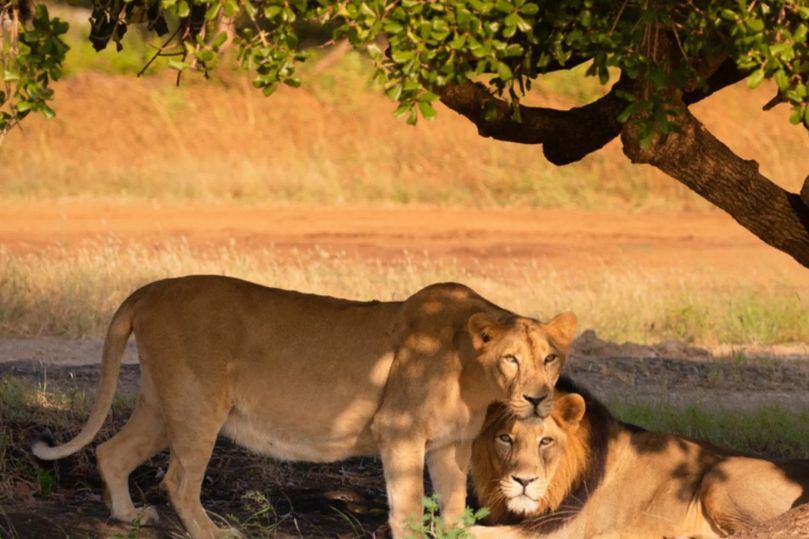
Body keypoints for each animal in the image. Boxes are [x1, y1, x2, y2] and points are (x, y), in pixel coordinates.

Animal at [30, 276, 577, 539]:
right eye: (511, 358)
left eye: (550, 358)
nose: (537, 398)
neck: (472, 372)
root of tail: (149, 289)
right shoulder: (398, 431)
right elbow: (405, 508)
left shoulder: (450, 443)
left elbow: (454, 504)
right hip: (198, 405)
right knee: (178, 481)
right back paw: (215, 533)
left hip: (162, 404)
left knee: (112, 453)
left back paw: (127, 517)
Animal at [470, 377, 809, 539]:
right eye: (505, 438)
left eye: (546, 441)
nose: (523, 481)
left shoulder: (562, 530)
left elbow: (480, 533)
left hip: (722, 474)